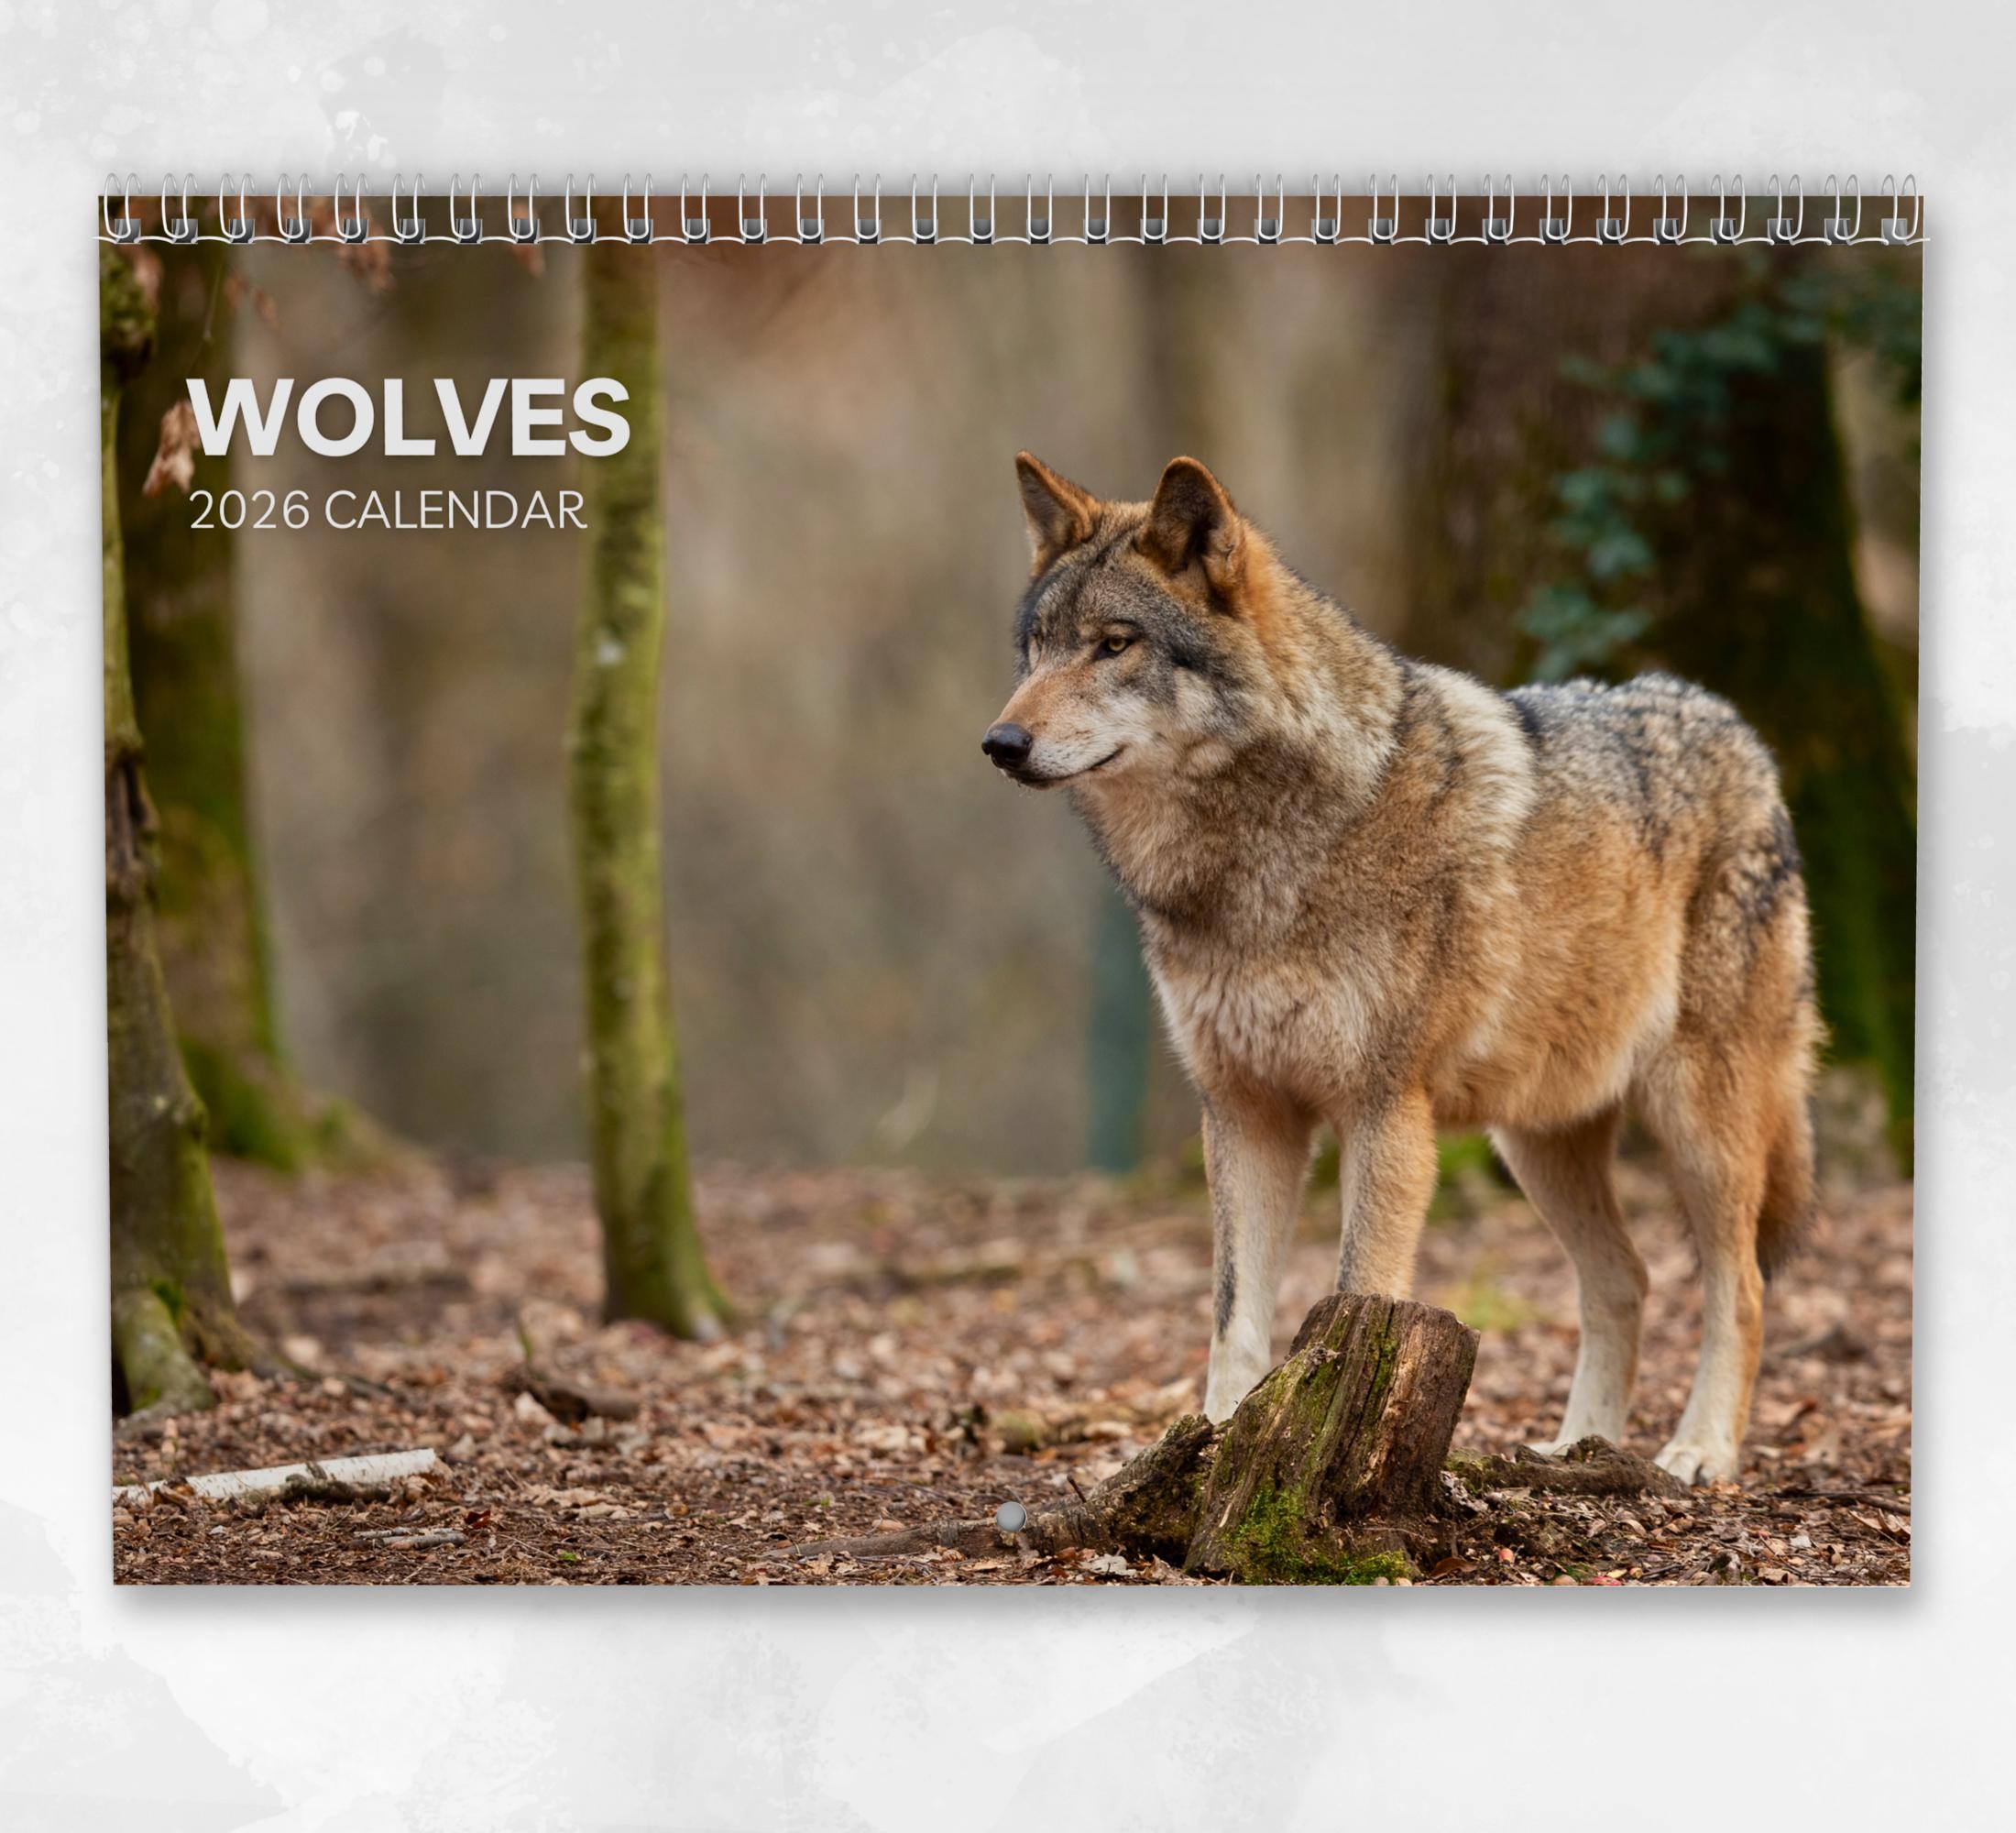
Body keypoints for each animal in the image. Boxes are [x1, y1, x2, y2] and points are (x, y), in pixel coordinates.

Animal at [983, 453, 1819, 1484]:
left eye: (1112, 645)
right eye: (1037, 649)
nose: (1001, 744)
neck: (1256, 863)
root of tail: (1735, 725)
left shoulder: (1384, 1111)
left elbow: (1354, 1296)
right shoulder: (1245, 1112)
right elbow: (1233, 1317)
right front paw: (1214, 1448)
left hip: (1699, 1123)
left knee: (1739, 1286)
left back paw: (1699, 1450)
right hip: (1536, 1141)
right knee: (1625, 1278)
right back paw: (1575, 1447)